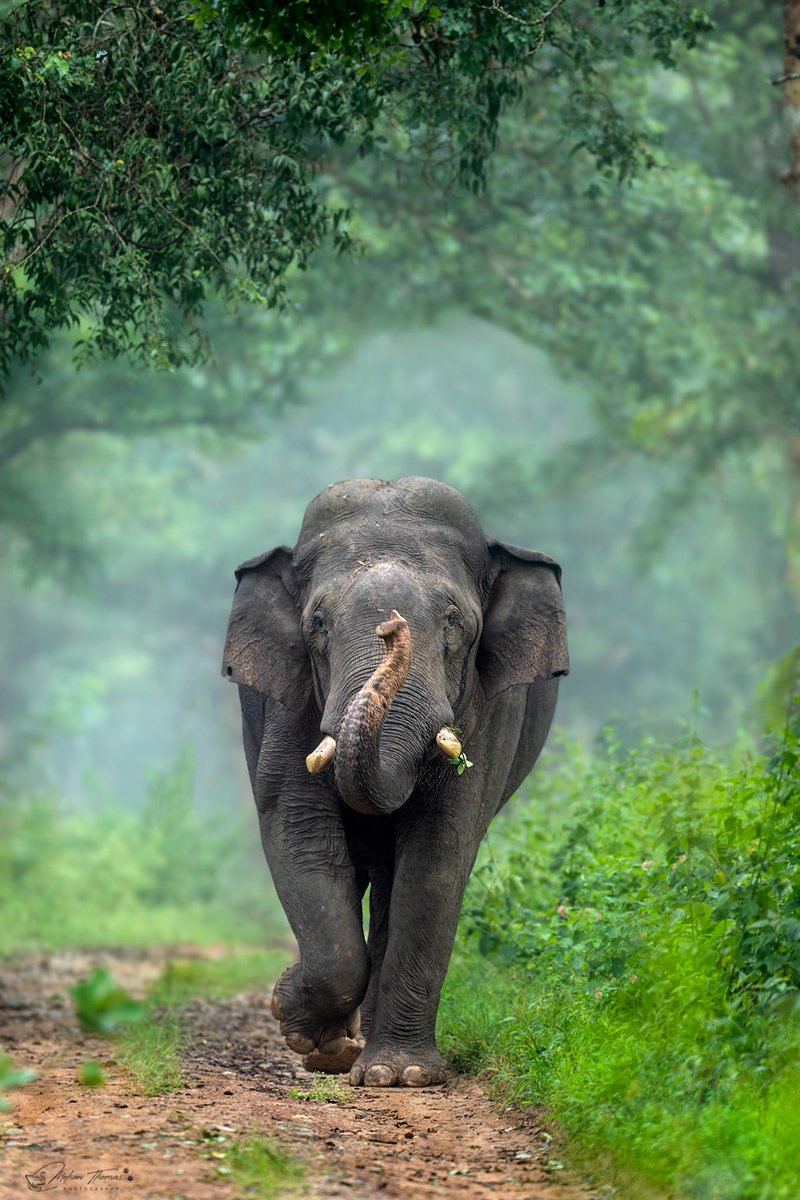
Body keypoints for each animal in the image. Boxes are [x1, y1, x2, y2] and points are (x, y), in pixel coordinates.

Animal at [221, 476, 568, 1087]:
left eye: (454, 621)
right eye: (317, 624)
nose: (391, 626)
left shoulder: (492, 708)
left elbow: (439, 852)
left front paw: (399, 1076)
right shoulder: (290, 700)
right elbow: (298, 830)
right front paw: (297, 1019)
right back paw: (336, 1050)